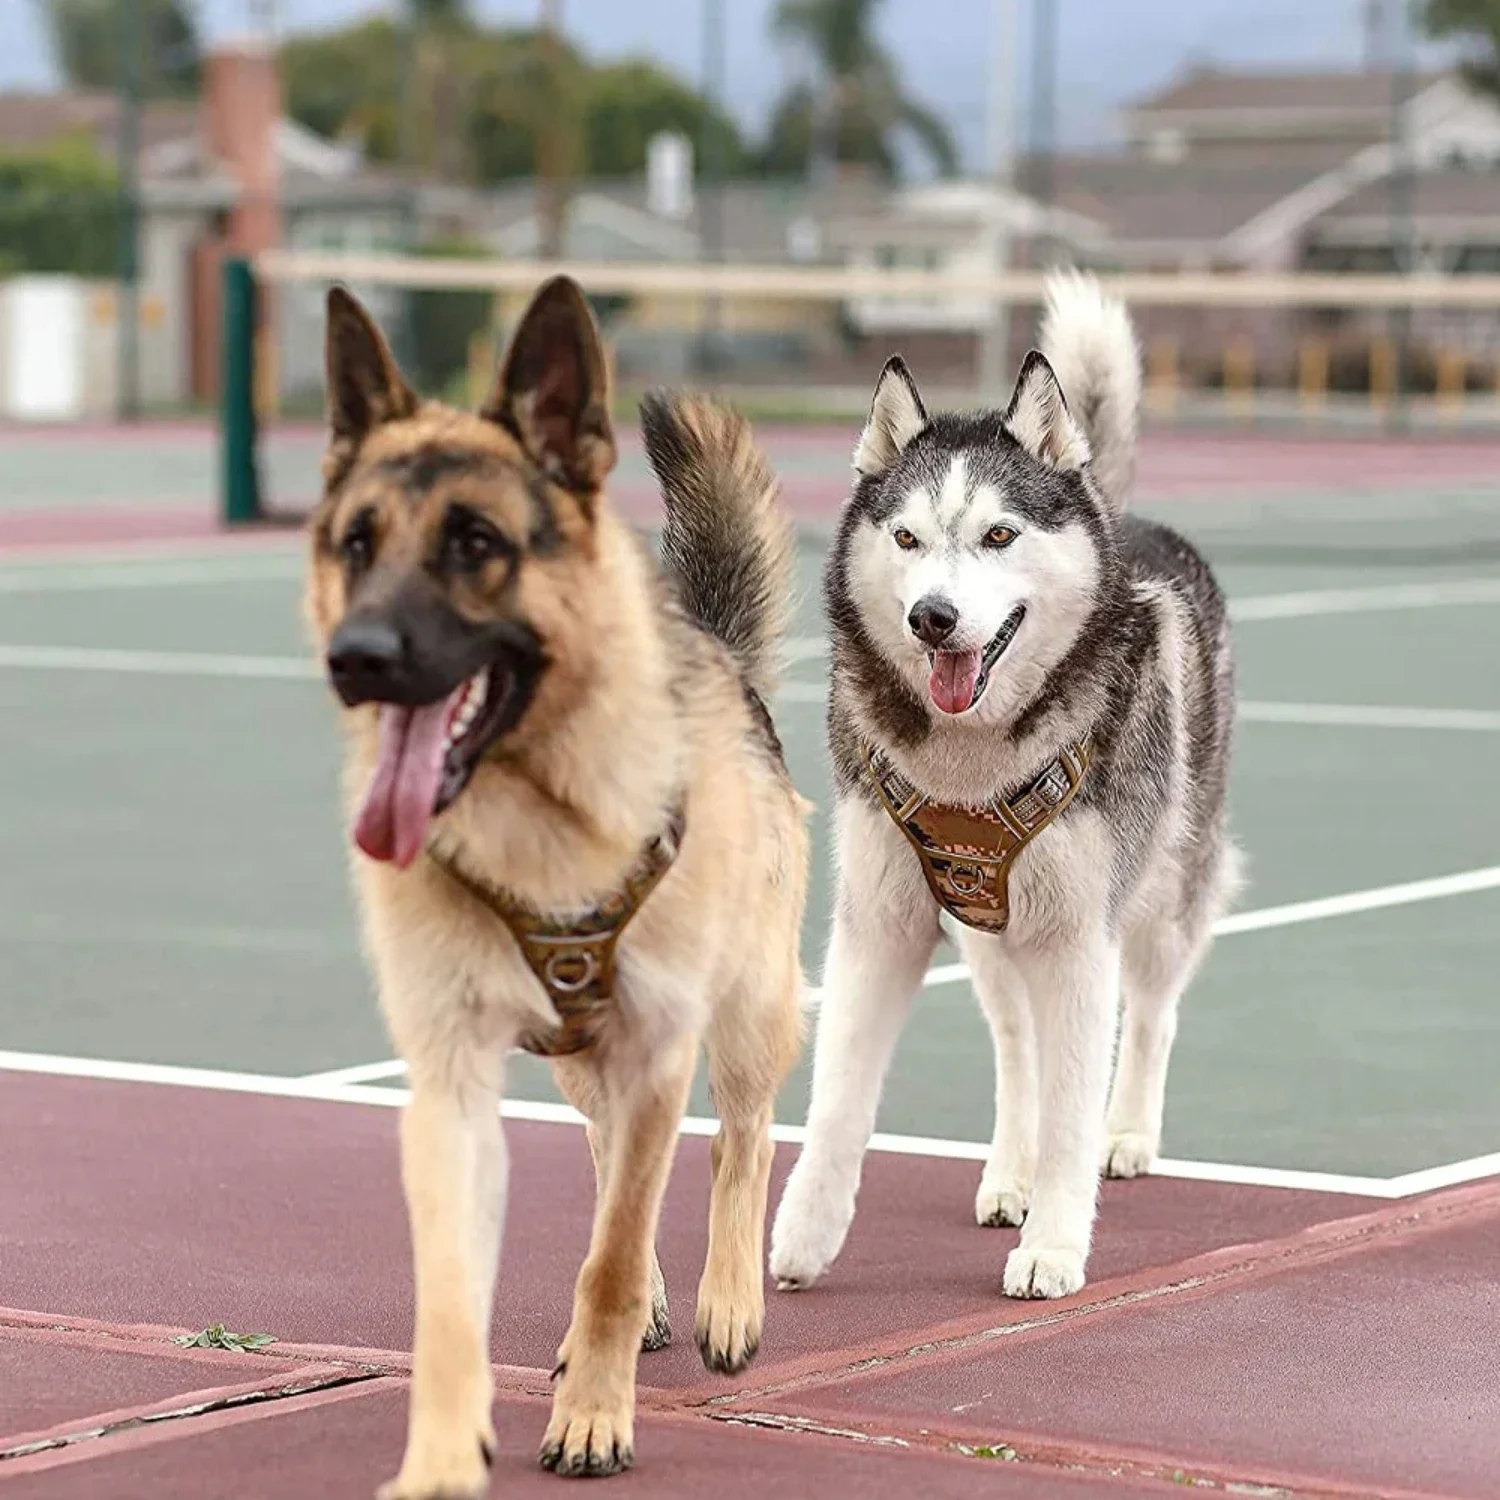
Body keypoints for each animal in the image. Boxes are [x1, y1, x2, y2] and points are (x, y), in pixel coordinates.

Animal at [303, 276, 810, 1494]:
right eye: (356, 543)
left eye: (476, 542)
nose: (356, 659)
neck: (535, 818)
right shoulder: (450, 1079)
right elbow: (461, 1288)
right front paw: (445, 1452)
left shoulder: (661, 1046)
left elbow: (616, 1257)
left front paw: (592, 1418)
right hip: (584, 1063)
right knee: (608, 1155)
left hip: (747, 1015)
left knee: (739, 1141)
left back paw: (724, 1301)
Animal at [768, 270, 1236, 1302]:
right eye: (906, 537)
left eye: (998, 534)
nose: (933, 617)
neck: (973, 758)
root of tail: (1117, 508)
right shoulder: (880, 924)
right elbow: (838, 1101)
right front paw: (804, 1233)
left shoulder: (1078, 938)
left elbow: (1074, 1104)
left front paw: (1056, 1247)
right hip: (986, 934)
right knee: (1018, 1050)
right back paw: (1009, 1172)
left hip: (1163, 895)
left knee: (1153, 1014)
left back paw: (1128, 1133)